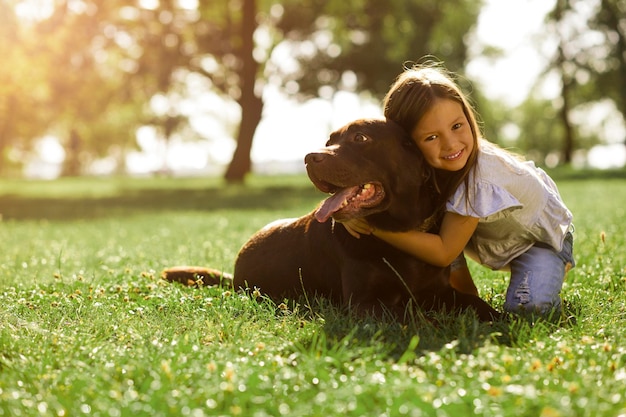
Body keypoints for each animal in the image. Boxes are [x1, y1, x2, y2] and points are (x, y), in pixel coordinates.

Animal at [161, 118, 498, 320]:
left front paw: (502, 319)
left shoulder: (440, 290)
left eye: (361, 137)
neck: (401, 234)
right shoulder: (364, 302)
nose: (310, 157)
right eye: (328, 141)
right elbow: (410, 312)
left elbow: (476, 304)